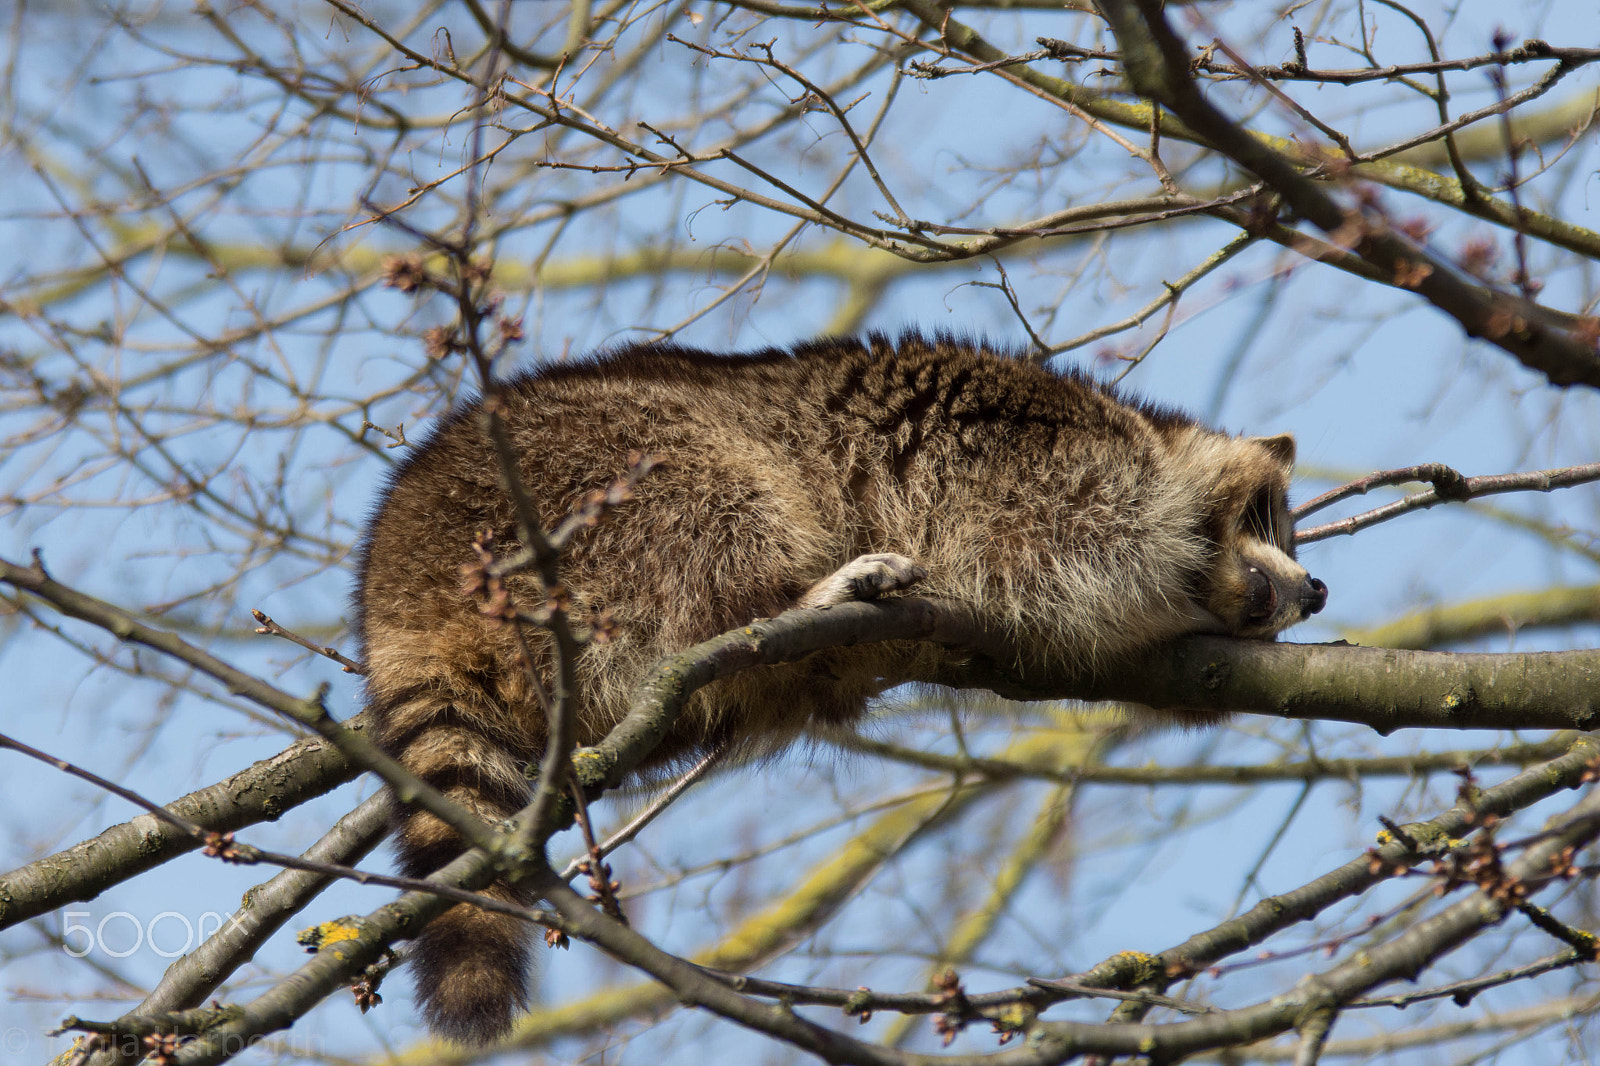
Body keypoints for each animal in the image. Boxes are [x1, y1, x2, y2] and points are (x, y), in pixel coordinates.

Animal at [350, 329, 1324, 1037]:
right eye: (1263, 516)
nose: (1315, 590)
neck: (1141, 430)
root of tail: (400, 575)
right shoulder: (1025, 463)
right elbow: (1082, 552)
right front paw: (1163, 586)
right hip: (601, 492)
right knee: (719, 508)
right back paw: (791, 598)